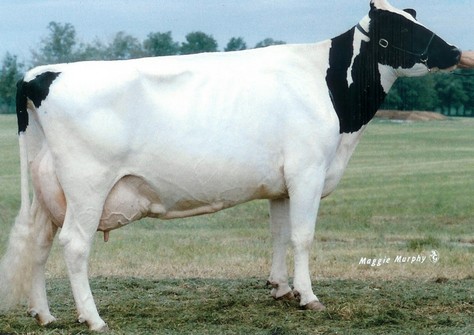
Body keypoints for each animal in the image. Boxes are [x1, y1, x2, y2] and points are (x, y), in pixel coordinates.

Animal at [0, 0, 462, 332]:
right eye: (402, 29)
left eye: (415, 18)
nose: (456, 50)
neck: (332, 89)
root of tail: (38, 75)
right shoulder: (308, 171)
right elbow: (302, 237)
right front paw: (309, 296)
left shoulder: (281, 184)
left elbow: (278, 235)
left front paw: (280, 289)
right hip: (87, 186)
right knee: (75, 245)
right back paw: (93, 318)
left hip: (47, 192)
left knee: (39, 244)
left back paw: (45, 315)